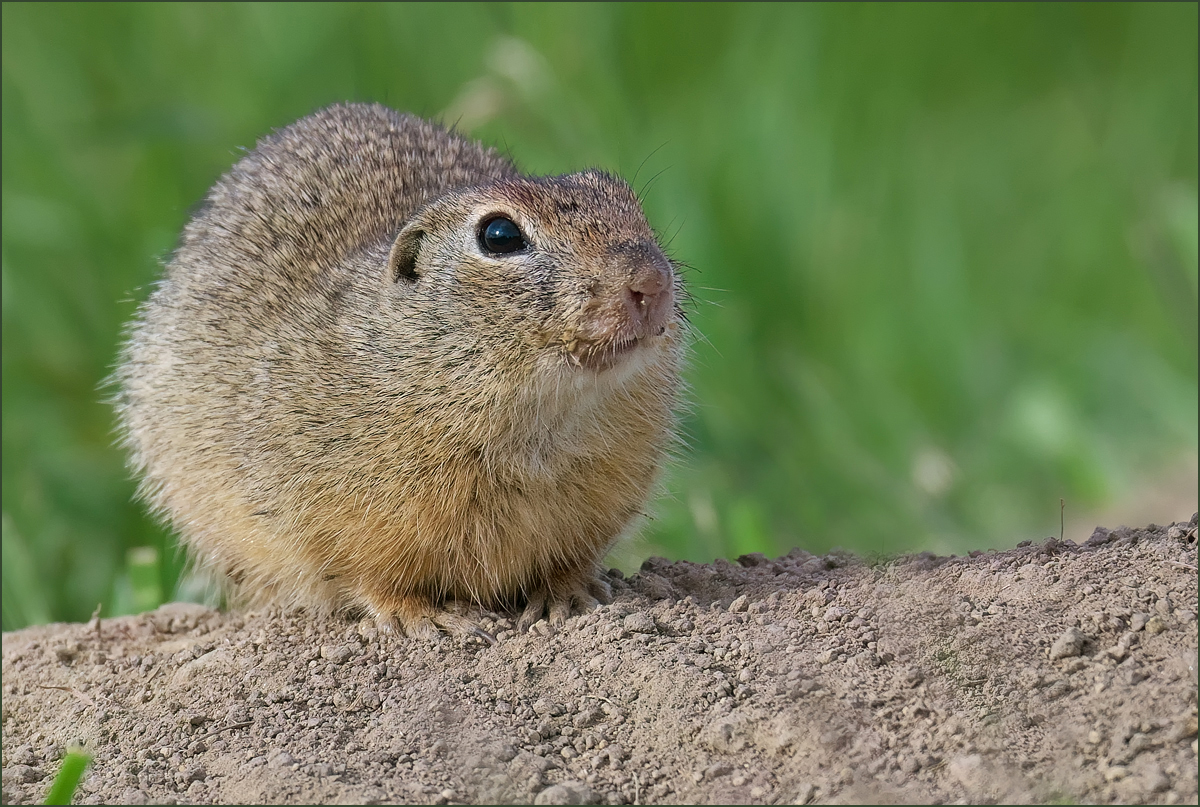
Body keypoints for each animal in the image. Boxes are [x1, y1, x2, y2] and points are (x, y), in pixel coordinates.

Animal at [118, 102, 691, 643]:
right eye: (499, 235)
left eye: (627, 200)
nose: (652, 281)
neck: (538, 415)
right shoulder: (339, 518)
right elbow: (371, 576)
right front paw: (427, 617)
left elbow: (570, 559)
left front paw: (569, 594)